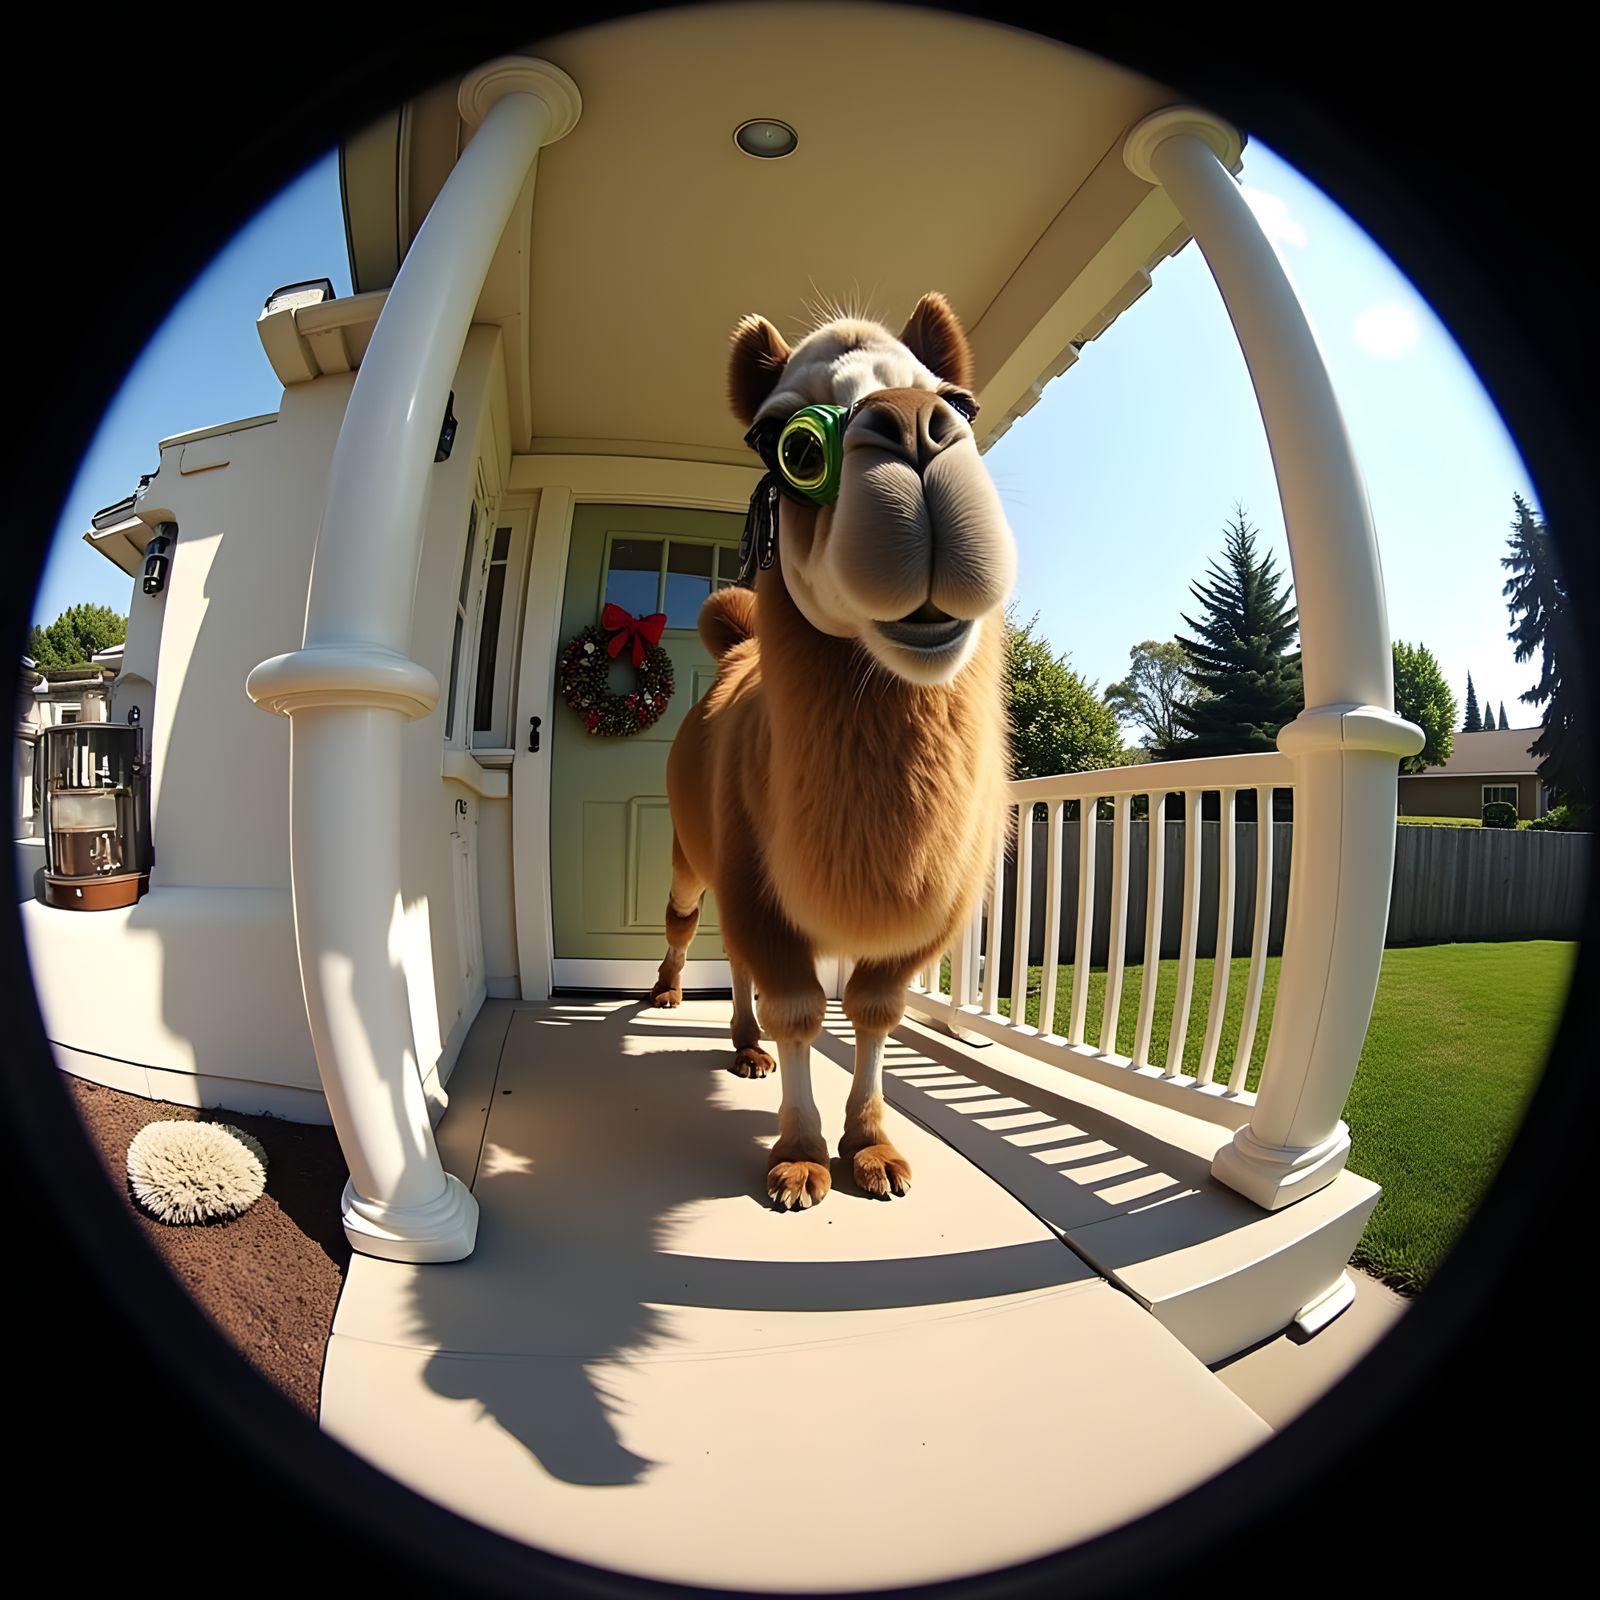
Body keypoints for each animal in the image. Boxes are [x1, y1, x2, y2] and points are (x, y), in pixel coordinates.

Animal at [651, 293, 1017, 1209]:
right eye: (786, 442)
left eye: (959, 402)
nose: (916, 425)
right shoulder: (759, 880)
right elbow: (799, 1010)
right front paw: (800, 1156)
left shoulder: (916, 919)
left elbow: (874, 1009)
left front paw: (873, 1147)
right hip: (692, 847)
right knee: (687, 921)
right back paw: (672, 996)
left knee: (733, 959)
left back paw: (742, 1048)